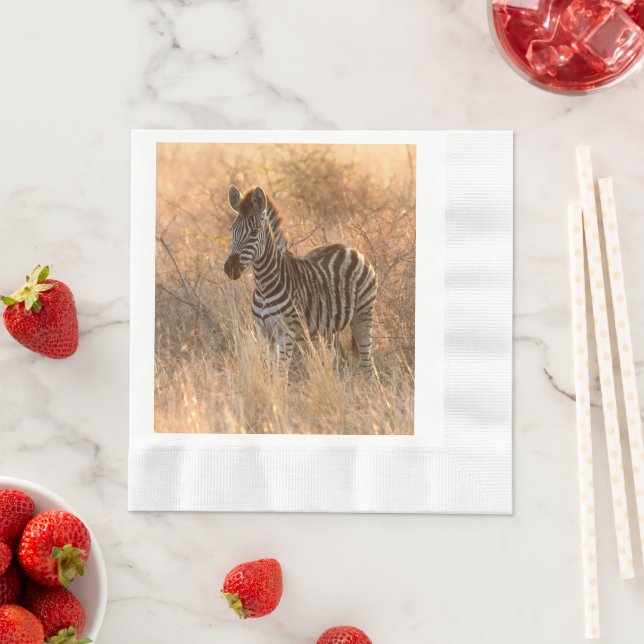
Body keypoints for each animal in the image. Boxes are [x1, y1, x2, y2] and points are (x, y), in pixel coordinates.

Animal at [223, 185, 377, 378]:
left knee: (368, 365)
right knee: (339, 361)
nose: (230, 268)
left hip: (363, 314)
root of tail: (352, 249)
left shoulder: (286, 333)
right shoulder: (265, 333)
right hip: (330, 328)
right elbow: (272, 373)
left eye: (254, 232)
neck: (264, 286)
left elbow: (280, 375)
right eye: (232, 230)